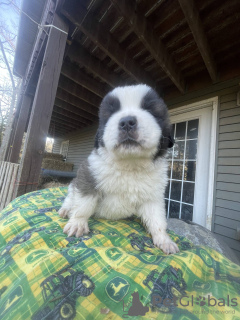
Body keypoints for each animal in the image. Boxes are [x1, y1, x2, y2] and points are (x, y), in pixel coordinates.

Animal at [59, 85, 179, 255]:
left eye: (149, 108)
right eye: (111, 112)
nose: (127, 122)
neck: (130, 165)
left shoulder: (153, 197)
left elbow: (157, 219)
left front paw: (164, 240)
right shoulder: (89, 175)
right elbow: (84, 204)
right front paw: (78, 223)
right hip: (73, 185)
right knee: (70, 198)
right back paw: (65, 210)